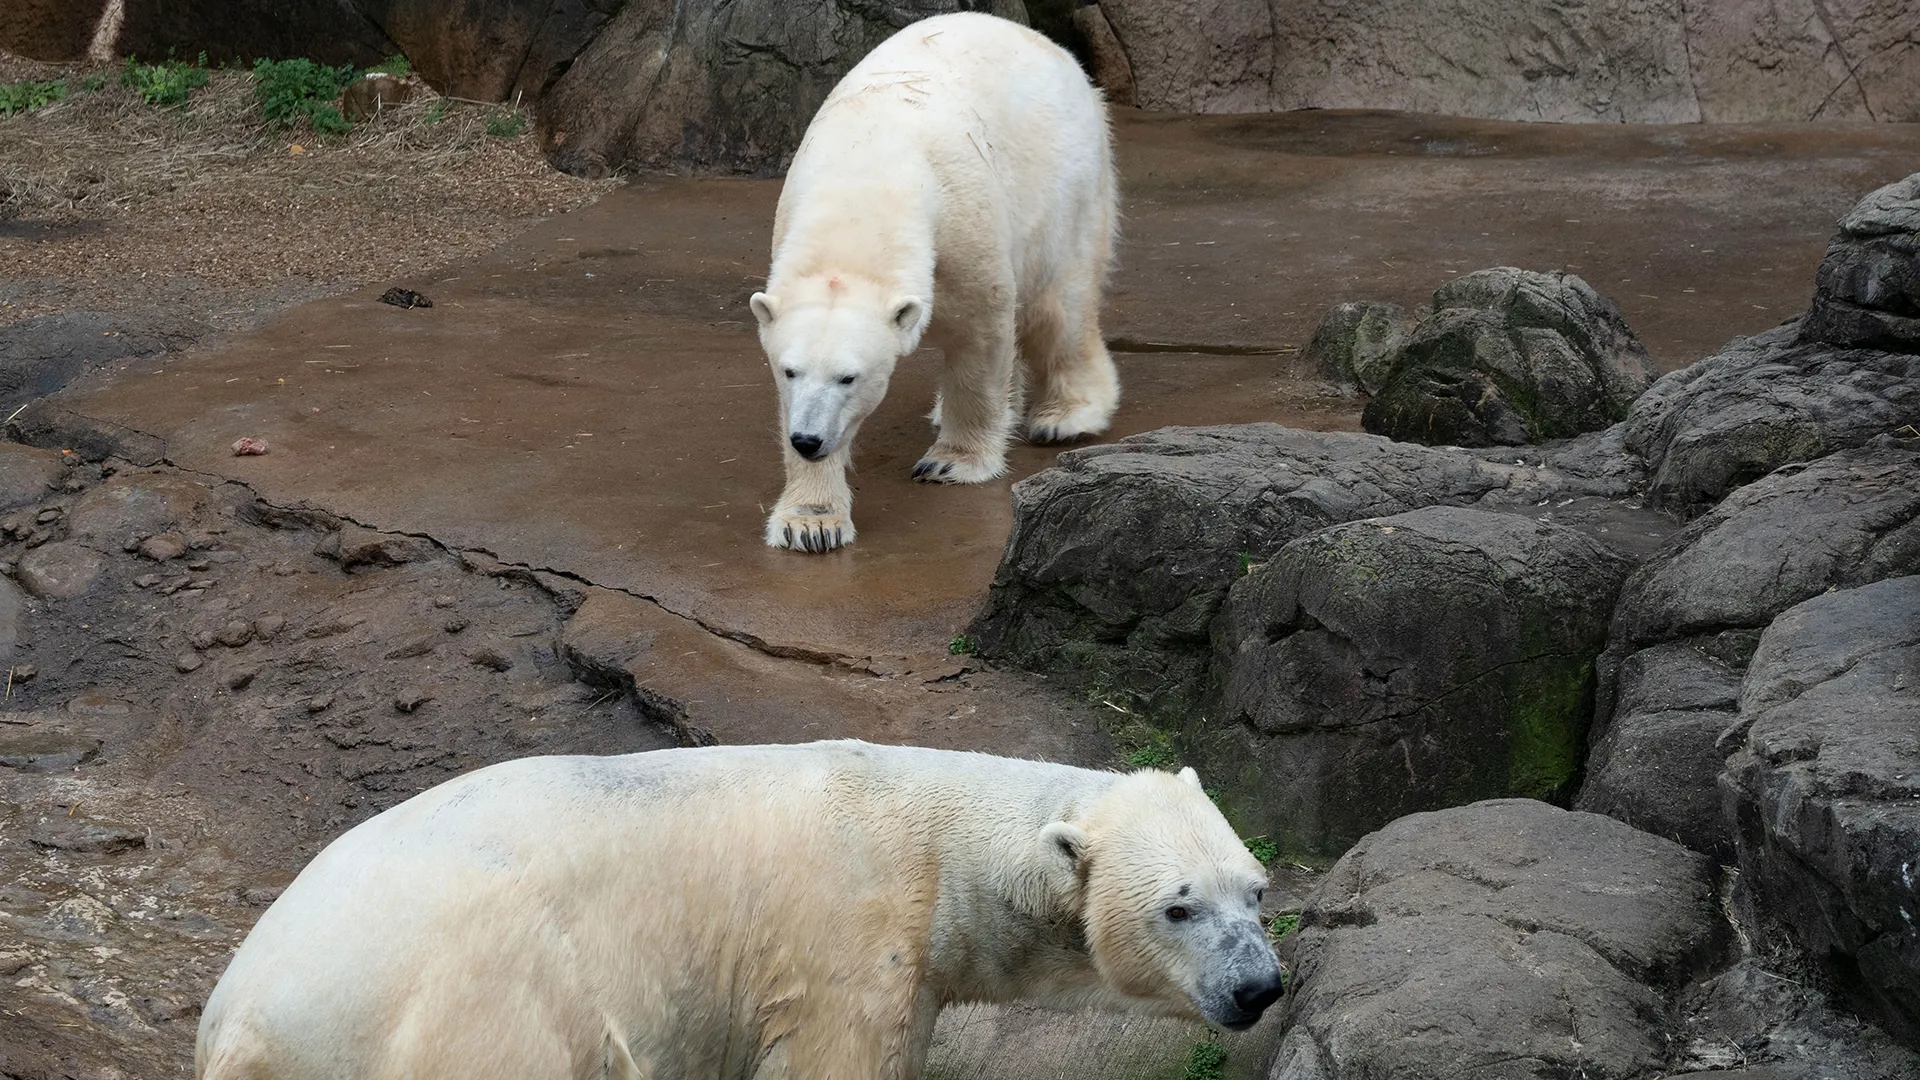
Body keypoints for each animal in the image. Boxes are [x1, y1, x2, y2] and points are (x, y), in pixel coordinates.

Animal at [196, 741, 1283, 1080]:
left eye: (1256, 891)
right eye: (1179, 907)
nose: (1261, 987)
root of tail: (243, 1017)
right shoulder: (849, 946)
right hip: (471, 1016)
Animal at [751, 13, 1121, 553]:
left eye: (849, 377)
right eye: (789, 371)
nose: (808, 440)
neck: (863, 178)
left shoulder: (961, 225)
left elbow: (980, 334)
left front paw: (952, 461)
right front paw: (812, 522)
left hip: (1066, 180)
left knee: (1059, 306)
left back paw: (1066, 416)